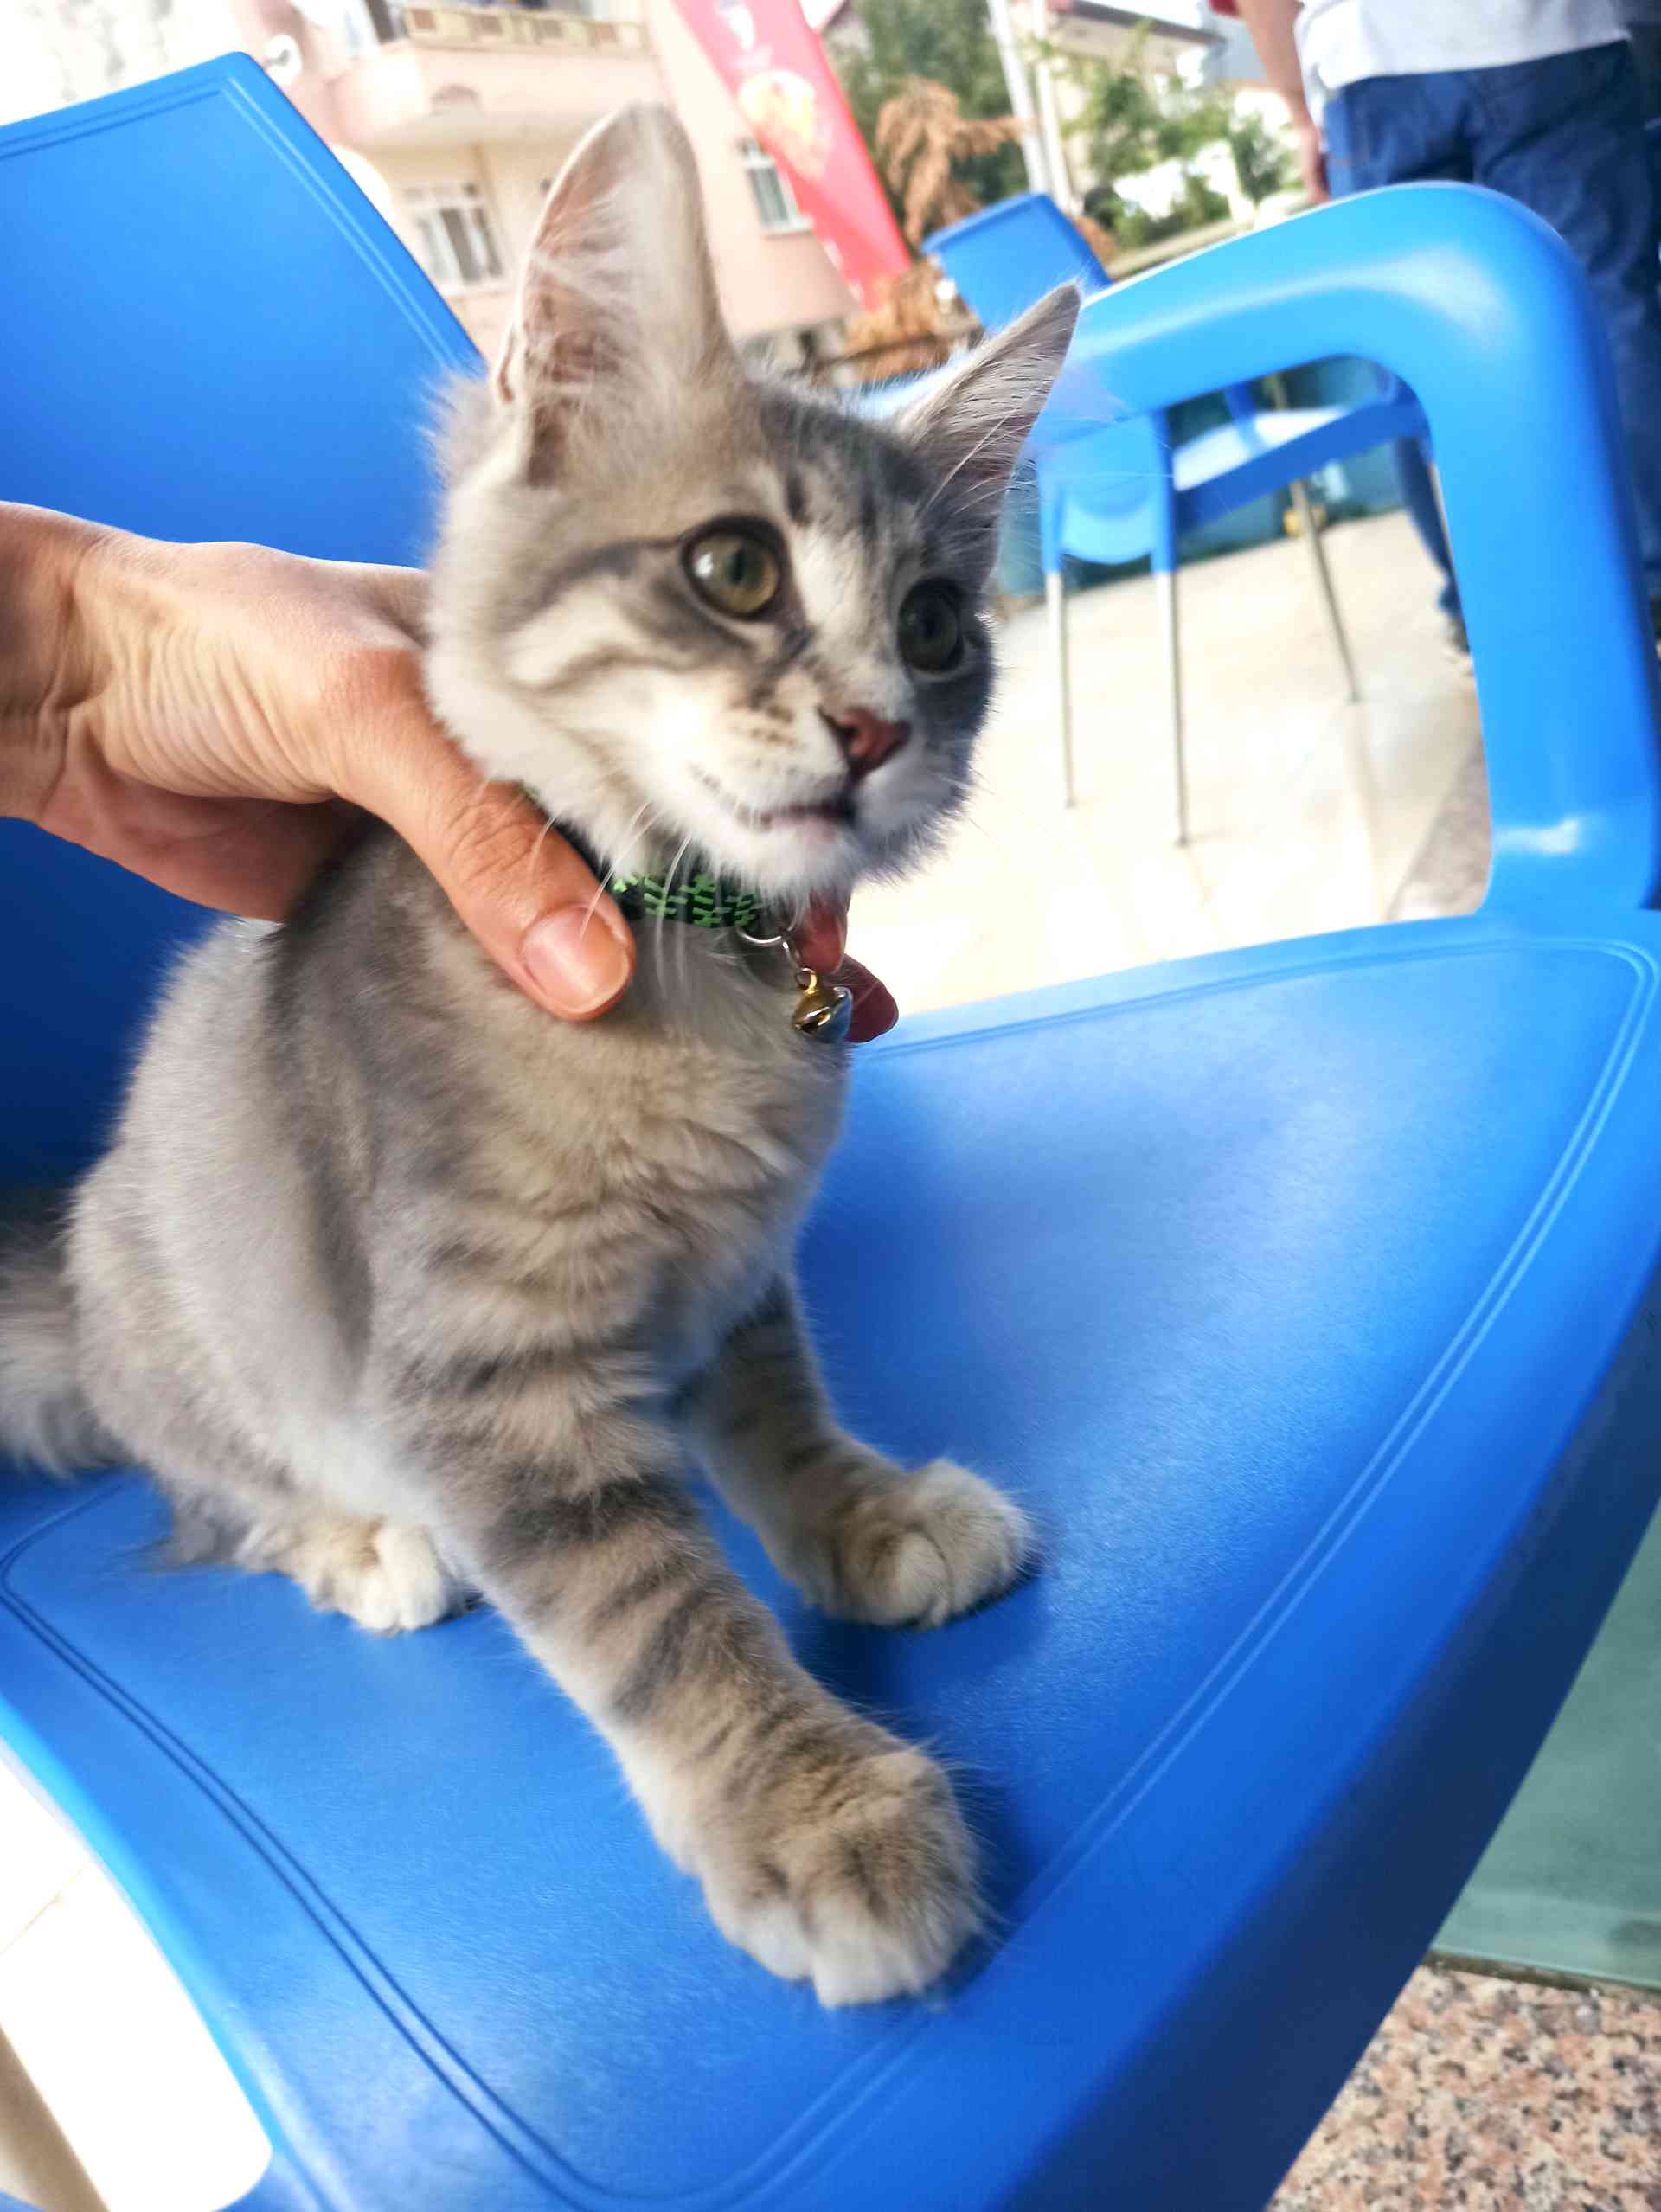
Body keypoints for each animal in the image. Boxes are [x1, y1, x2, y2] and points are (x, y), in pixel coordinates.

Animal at [0, 104, 1077, 2005]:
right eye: (735, 569)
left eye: (942, 628)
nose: (877, 729)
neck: (699, 985)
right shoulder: (486, 1378)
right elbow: (663, 1616)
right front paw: (814, 1812)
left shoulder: (734, 1281)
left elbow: (786, 1420)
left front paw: (864, 1520)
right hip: (197, 1351)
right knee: (220, 1501)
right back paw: (364, 1544)